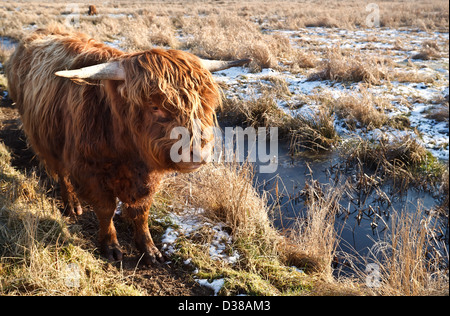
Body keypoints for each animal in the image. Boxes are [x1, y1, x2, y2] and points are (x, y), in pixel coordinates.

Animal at [5, 26, 250, 264]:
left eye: (204, 103)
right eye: (154, 106)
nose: (197, 152)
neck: (127, 150)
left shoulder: (149, 176)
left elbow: (141, 211)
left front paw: (149, 248)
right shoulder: (89, 171)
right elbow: (105, 209)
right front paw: (110, 246)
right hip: (48, 141)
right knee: (62, 174)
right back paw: (72, 205)